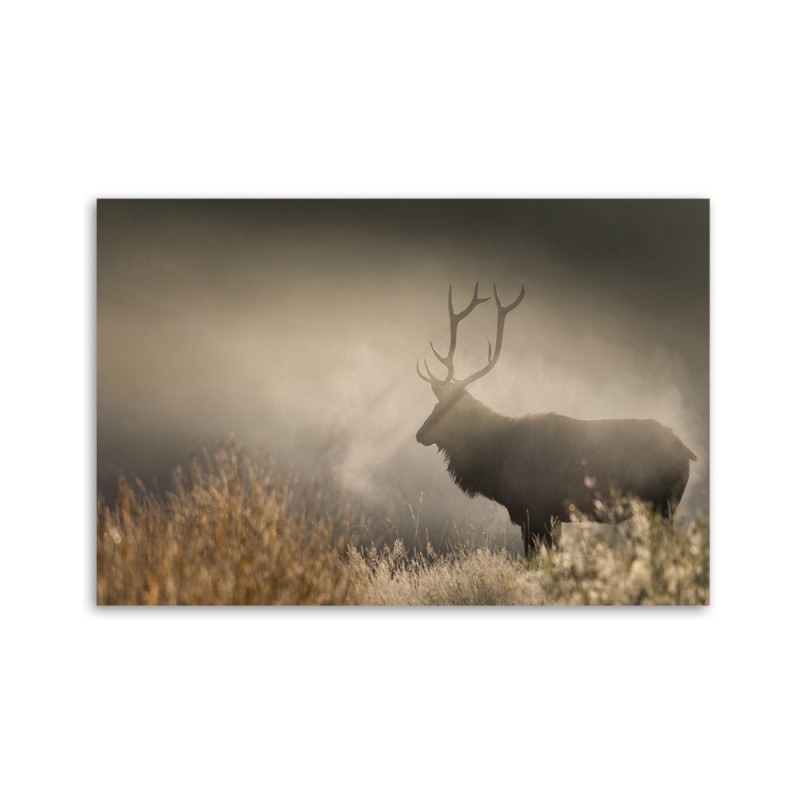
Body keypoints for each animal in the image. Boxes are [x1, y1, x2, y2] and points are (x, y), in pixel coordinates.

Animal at [415, 282, 698, 556]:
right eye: (435, 404)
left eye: (449, 410)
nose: (420, 434)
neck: (497, 462)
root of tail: (687, 452)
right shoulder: (550, 516)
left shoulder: (535, 510)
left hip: (662, 505)